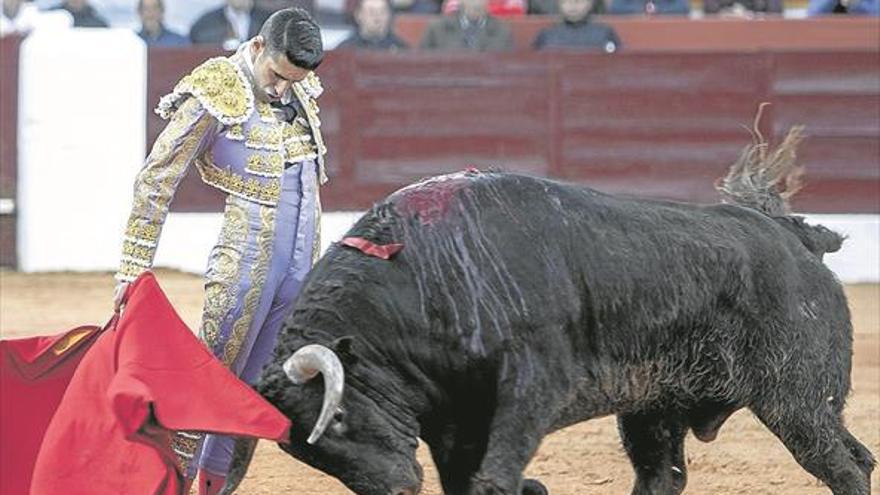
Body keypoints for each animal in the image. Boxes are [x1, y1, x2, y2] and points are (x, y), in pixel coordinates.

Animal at [223, 165, 868, 494]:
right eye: (308, 453)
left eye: (339, 419)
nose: (399, 489)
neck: (426, 272)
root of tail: (793, 236)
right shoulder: (453, 423)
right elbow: (466, 484)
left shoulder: (533, 385)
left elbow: (494, 480)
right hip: (655, 408)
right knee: (662, 476)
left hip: (794, 400)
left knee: (843, 466)